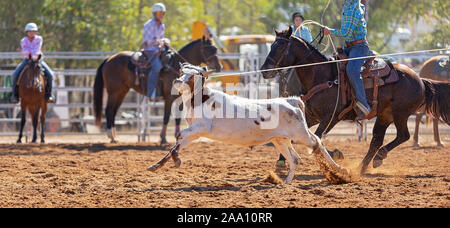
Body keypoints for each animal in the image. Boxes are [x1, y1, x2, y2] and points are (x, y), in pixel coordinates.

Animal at [93, 37, 221, 143]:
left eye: (215, 49)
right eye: (208, 49)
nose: (219, 67)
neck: (174, 66)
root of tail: (109, 59)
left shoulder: (179, 99)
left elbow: (177, 118)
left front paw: (176, 136)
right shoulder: (169, 99)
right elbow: (166, 117)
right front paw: (163, 138)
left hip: (122, 91)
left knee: (114, 111)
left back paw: (115, 136)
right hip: (113, 92)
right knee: (109, 110)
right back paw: (111, 137)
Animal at [148, 63, 352, 184]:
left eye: (191, 76)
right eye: (182, 72)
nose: (176, 80)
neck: (199, 99)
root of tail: (292, 101)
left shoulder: (201, 128)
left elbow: (178, 136)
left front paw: (176, 160)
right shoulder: (194, 133)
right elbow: (176, 145)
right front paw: (157, 165)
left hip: (300, 134)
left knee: (317, 143)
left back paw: (339, 171)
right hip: (280, 139)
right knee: (295, 158)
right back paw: (286, 182)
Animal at [260, 28, 450, 175]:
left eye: (281, 47)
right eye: (272, 46)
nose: (263, 70)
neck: (322, 75)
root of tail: (420, 79)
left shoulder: (331, 117)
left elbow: (317, 138)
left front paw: (335, 154)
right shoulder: (312, 115)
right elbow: (294, 136)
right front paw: (282, 161)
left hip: (400, 113)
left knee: (403, 135)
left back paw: (378, 158)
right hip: (384, 115)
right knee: (376, 140)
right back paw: (362, 167)